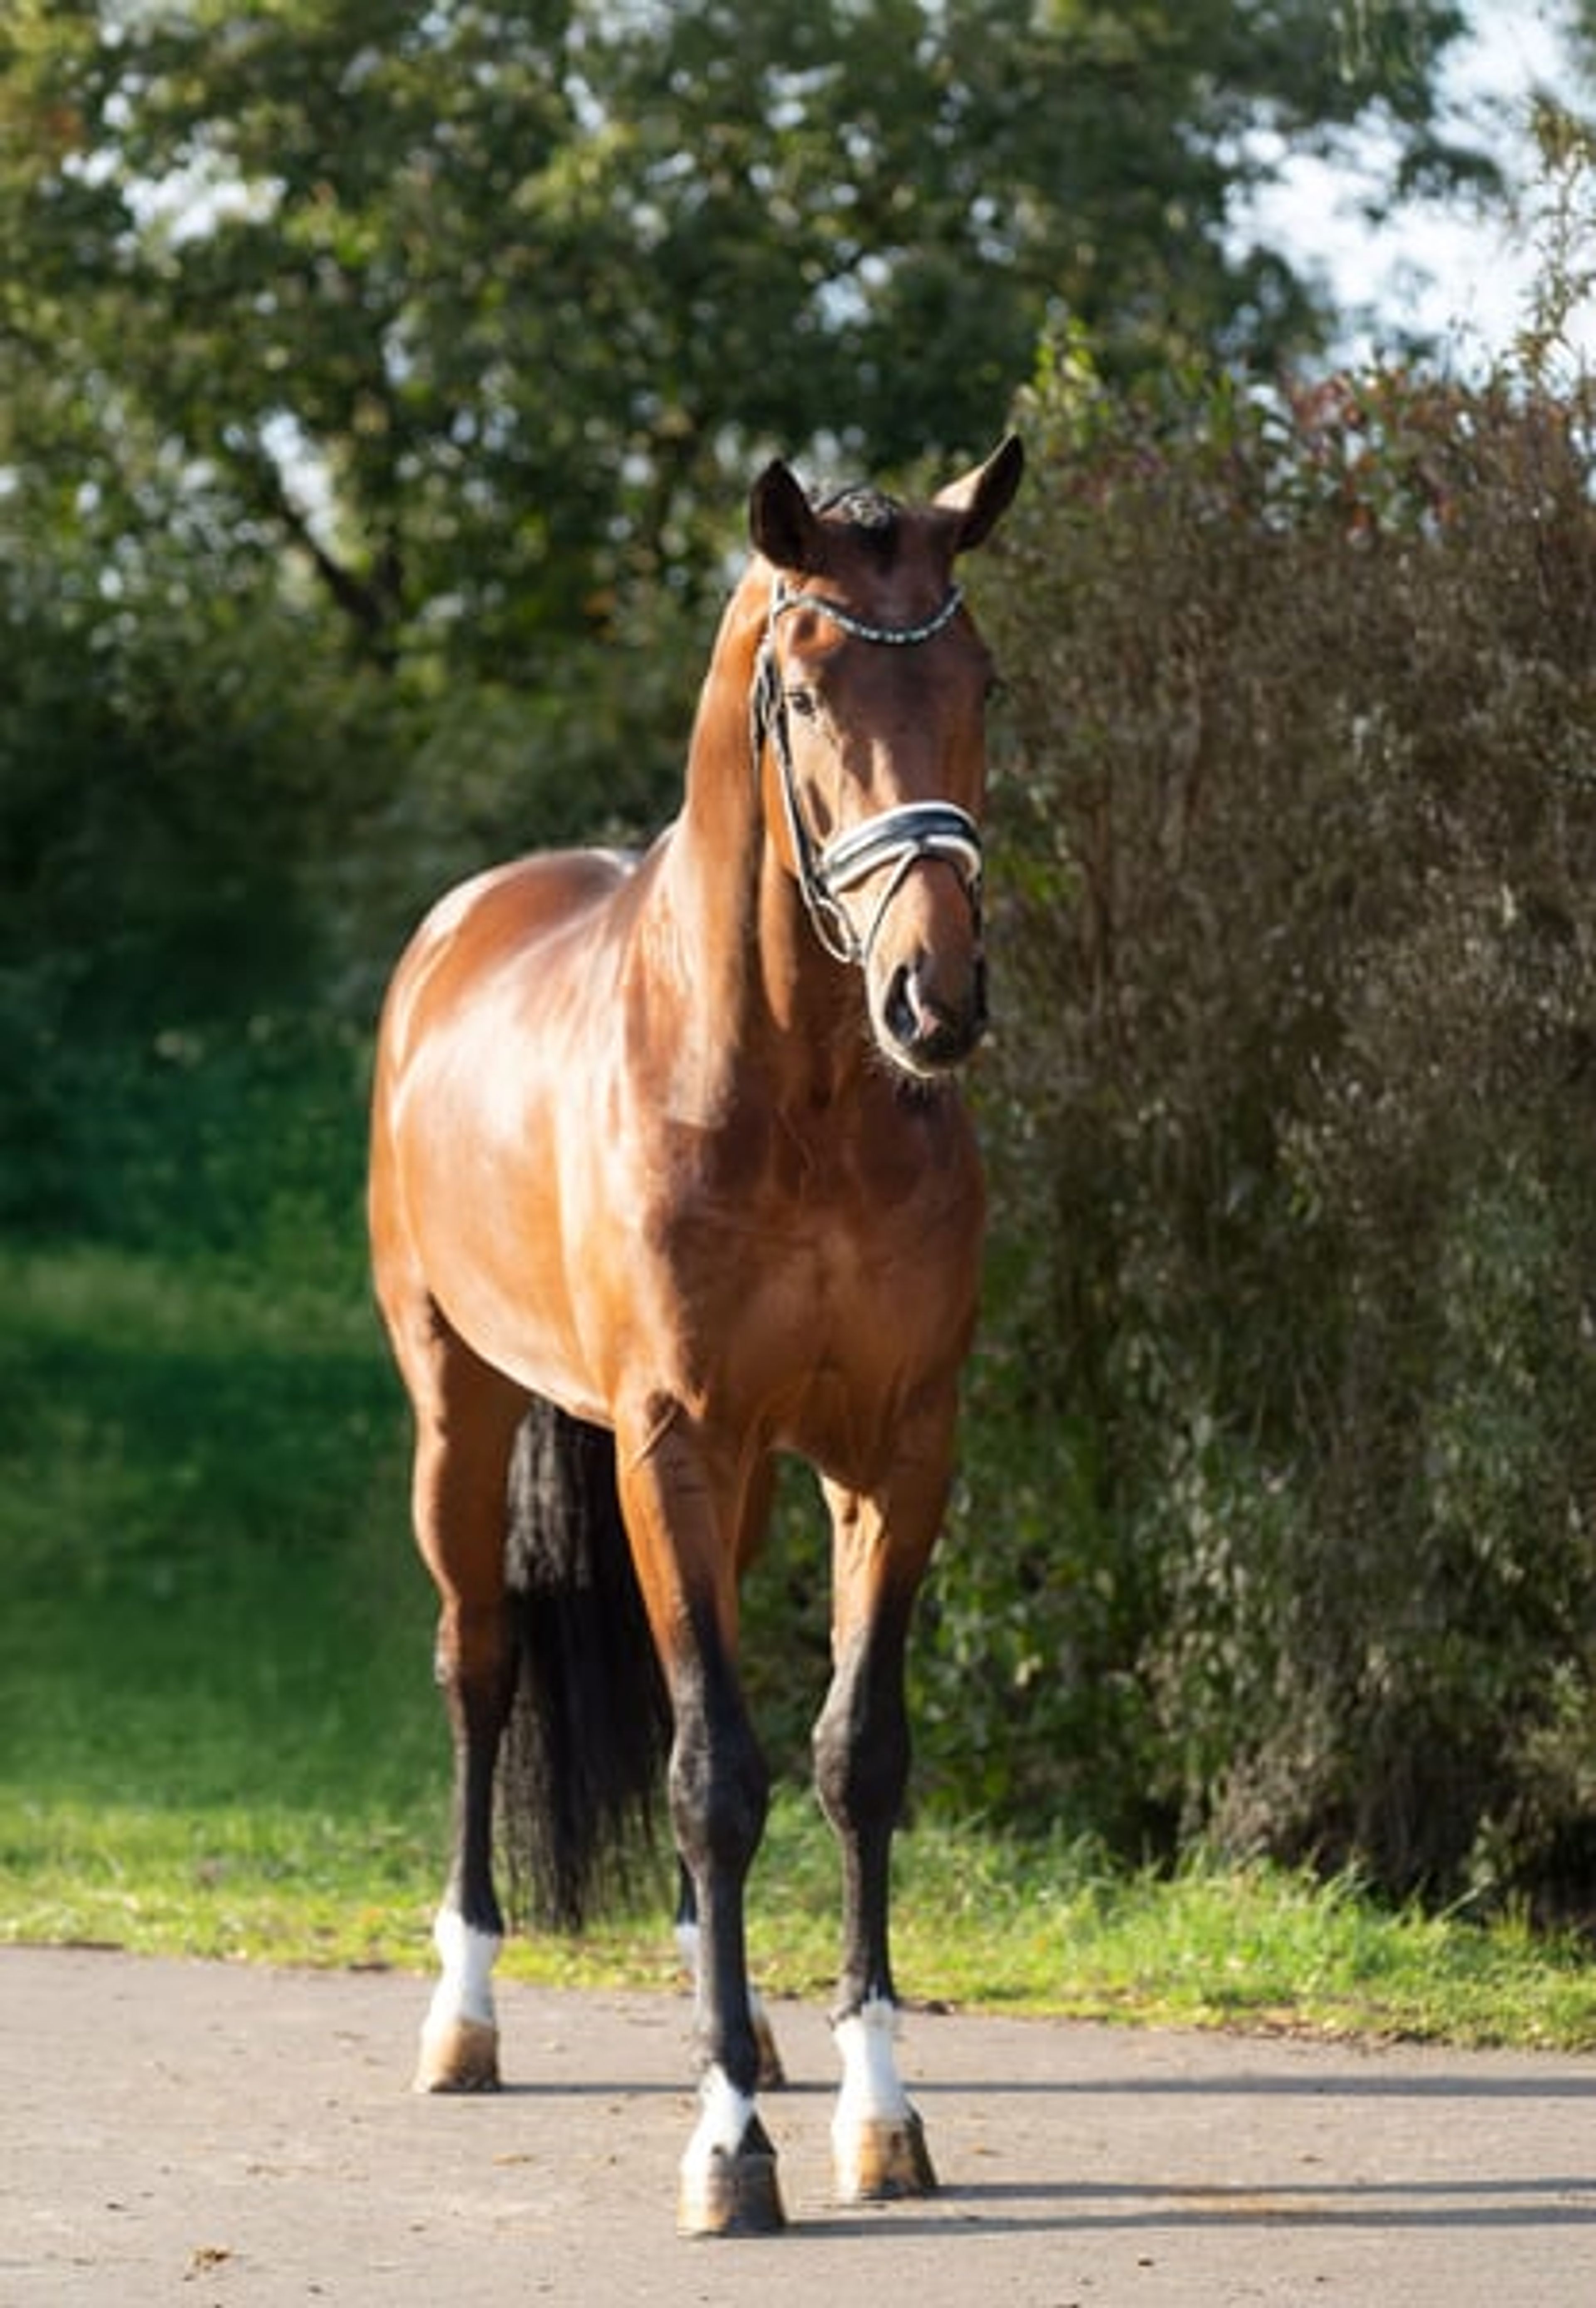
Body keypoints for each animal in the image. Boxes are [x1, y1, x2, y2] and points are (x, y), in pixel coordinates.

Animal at [368, 434, 1025, 2235]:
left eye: (982, 679)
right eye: (802, 692)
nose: (937, 997)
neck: (795, 1093)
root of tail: (456, 929)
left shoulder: (898, 1451)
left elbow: (851, 1755)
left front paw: (878, 2110)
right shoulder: (668, 1437)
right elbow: (716, 1771)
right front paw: (728, 2141)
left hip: (728, 1485)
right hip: (458, 1414)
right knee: (481, 1664)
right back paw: (464, 2014)